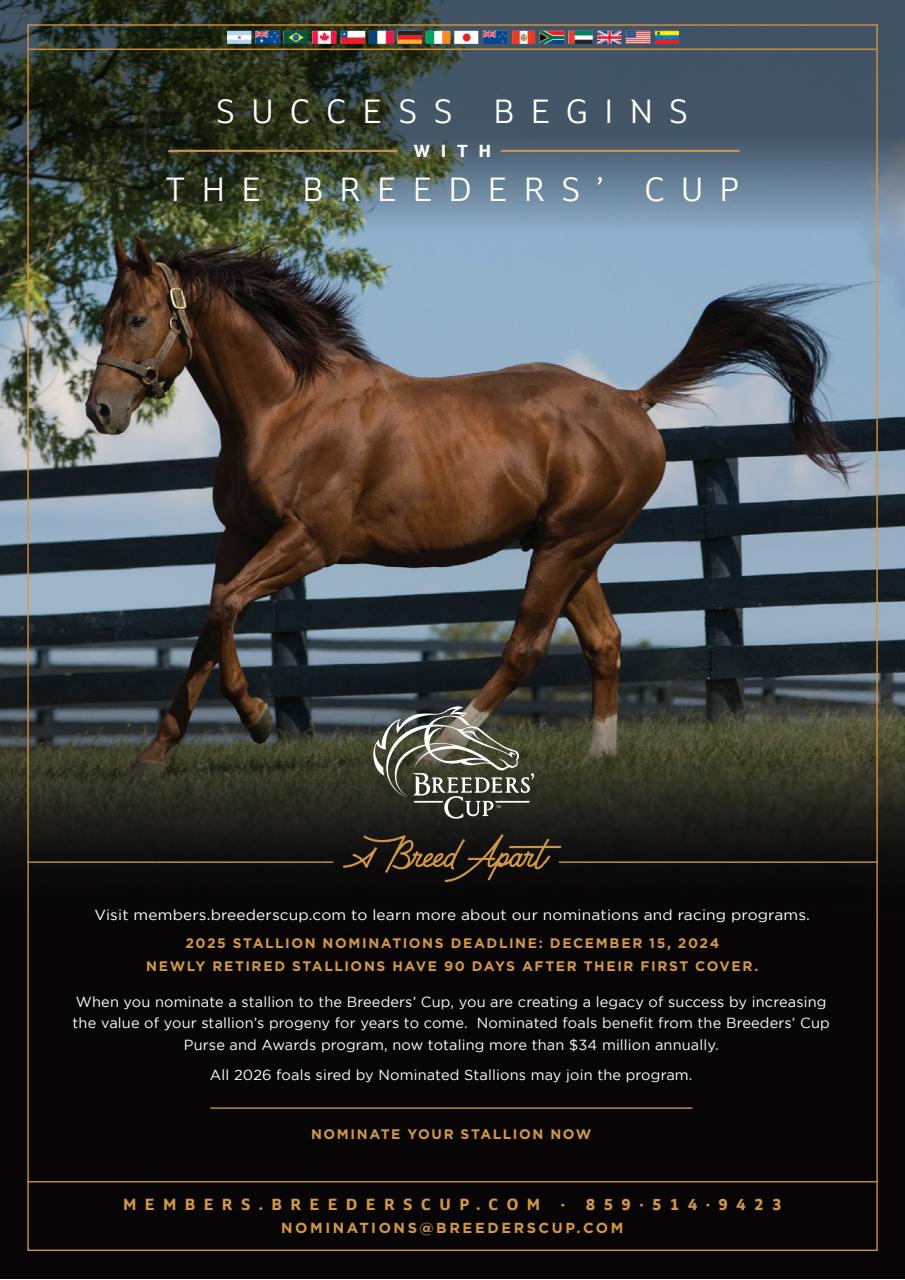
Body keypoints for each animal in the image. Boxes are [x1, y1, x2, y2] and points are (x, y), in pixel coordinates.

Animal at [86, 239, 847, 771]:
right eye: (103, 316)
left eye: (138, 317)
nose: (101, 411)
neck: (286, 410)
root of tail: (632, 401)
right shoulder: (238, 538)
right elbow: (209, 625)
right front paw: (154, 755)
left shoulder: (309, 542)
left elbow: (226, 610)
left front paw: (259, 719)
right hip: (574, 549)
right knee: (603, 642)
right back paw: (598, 756)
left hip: (566, 546)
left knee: (525, 648)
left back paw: (445, 743)